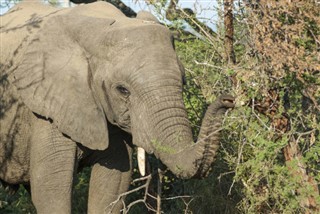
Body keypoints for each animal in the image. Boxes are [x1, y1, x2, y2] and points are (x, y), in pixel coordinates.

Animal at [0, 0, 235, 213]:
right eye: (122, 90)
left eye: (184, 82)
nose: (228, 99)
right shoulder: (46, 106)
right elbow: (50, 191)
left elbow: (113, 185)